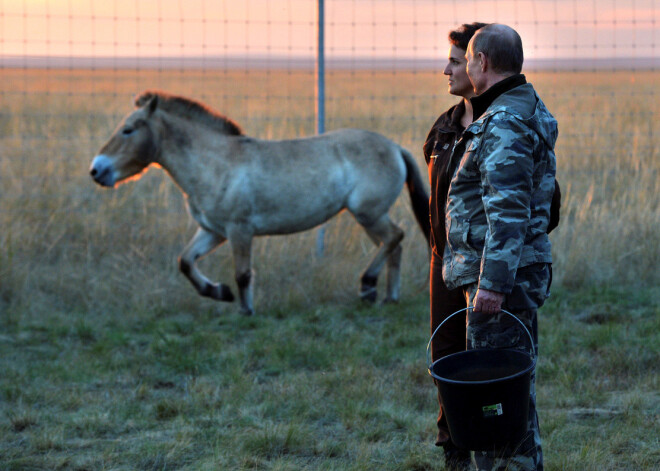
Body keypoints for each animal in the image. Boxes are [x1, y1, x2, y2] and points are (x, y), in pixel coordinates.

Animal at [90, 90, 430, 316]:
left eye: (128, 130)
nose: (96, 170)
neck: (215, 163)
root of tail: (395, 147)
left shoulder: (239, 230)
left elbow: (243, 273)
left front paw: (246, 311)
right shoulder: (213, 231)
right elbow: (185, 262)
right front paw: (219, 292)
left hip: (369, 213)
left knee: (395, 237)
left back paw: (367, 286)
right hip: (368, 217)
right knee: (393, 246)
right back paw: (387, 297)